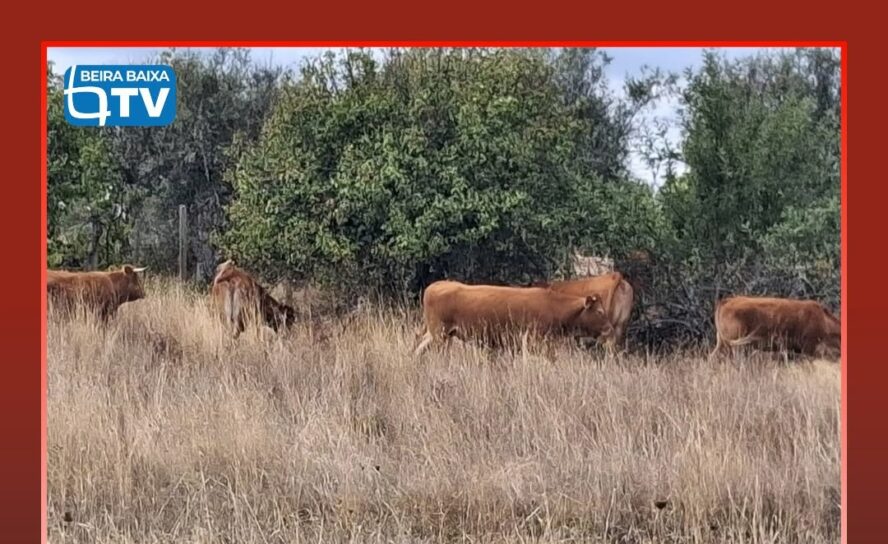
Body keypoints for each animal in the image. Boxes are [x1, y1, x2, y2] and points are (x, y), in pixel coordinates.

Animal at [413, 280, 614, 355]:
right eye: (599, 312)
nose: (609, 328)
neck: (552, 305)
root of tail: (436, 285)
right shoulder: (534, 341)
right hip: (439, 334)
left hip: (440, 334)